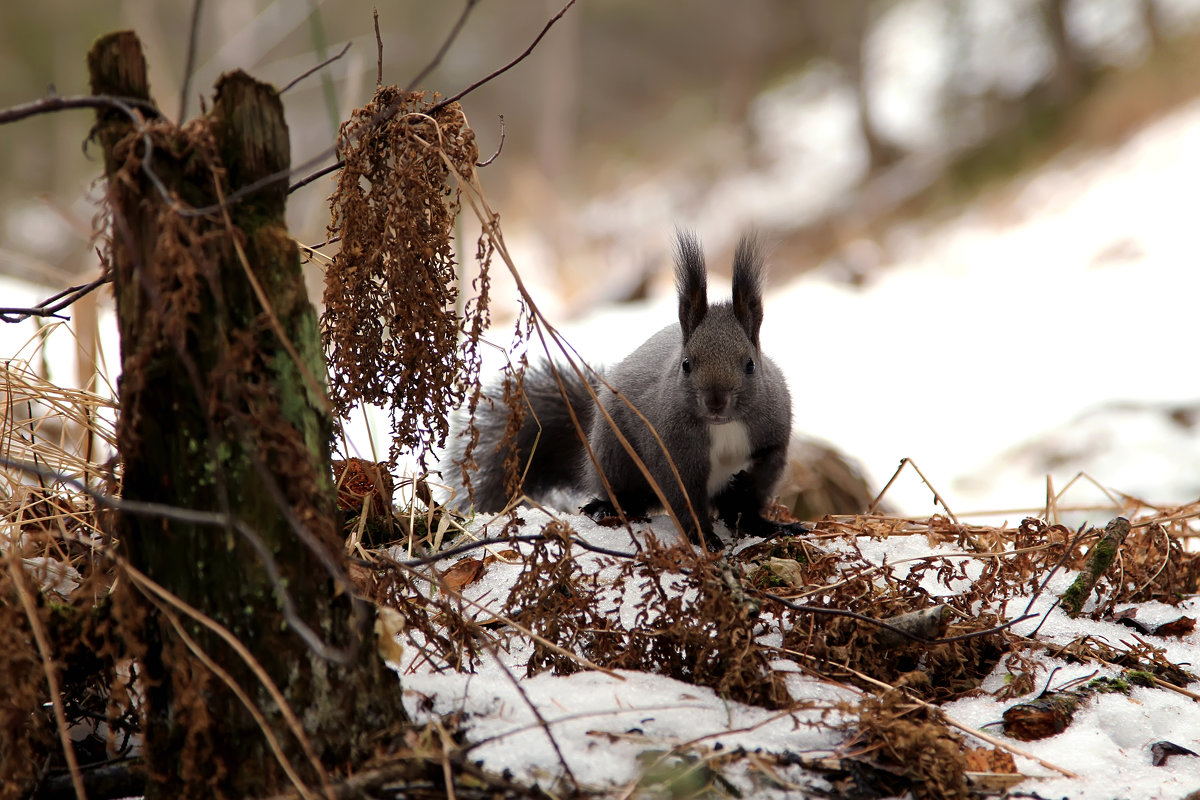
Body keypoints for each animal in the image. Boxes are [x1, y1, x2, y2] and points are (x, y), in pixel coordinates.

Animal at [448, 227, 806, 546]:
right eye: (686, 364)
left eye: (750, 364)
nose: (715, 402)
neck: (723, 426)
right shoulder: (672, 452)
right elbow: (684, 498)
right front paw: (704, 537)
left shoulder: (771, 437)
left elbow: (757, 481)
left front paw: (754, 512)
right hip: (614, 456)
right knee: (627, 495)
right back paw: (606, 507)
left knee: (738, 509)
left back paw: (770, 525)